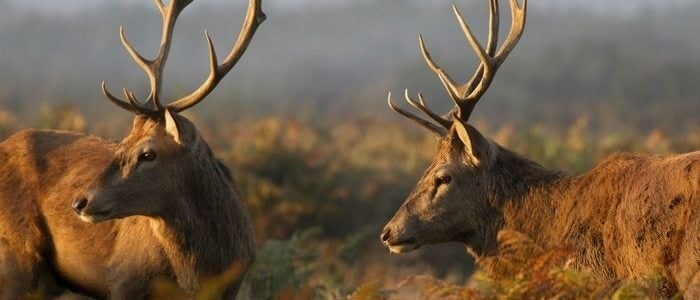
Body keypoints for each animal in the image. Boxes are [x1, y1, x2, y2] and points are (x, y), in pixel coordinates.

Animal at [0, 0, 266, 298]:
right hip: (15, 259)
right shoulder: (124, 279)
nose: (79, 202)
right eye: (124, 141)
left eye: (148, 153)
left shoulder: (233, 285)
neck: (200, 275)